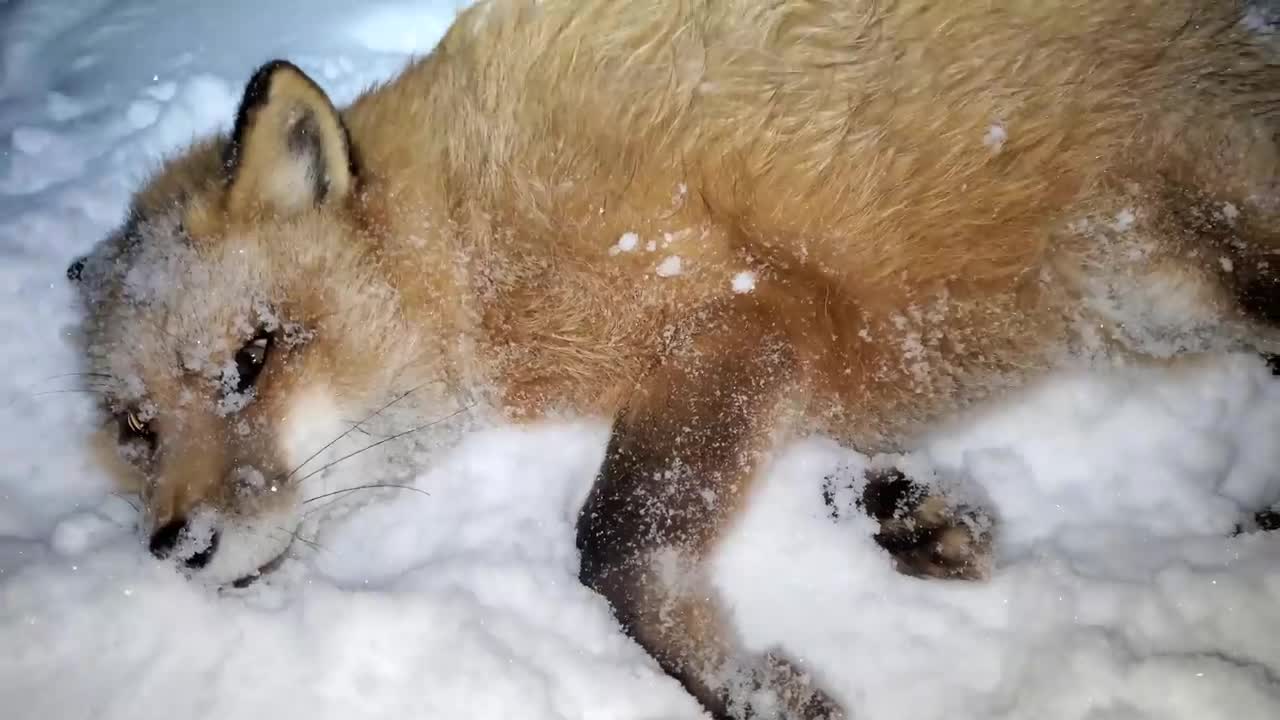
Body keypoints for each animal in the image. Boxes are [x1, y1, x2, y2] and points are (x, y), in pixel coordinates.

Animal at [64, 1, 1280, 717]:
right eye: (137, 430)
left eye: (253, 356)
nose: (176, 547)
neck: (481, 235)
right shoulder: (771, 360)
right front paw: (908, 511)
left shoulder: (737, 311)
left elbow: (611, 549)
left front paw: (754, 692)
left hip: (1187, 272)